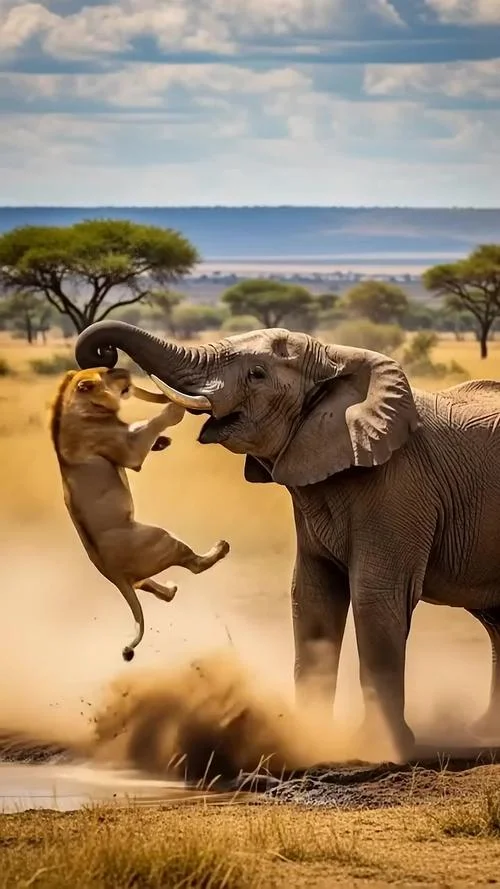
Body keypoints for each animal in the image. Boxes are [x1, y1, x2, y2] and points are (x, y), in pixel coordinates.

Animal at [75, 320, 500, 760]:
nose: (103, 357)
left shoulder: (398, 487)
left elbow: (376, 598)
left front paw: (382, 748)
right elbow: (312, 598)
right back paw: (485, 731)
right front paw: (310, 737)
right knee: (495, 622)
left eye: (257, 374)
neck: (338, 359)